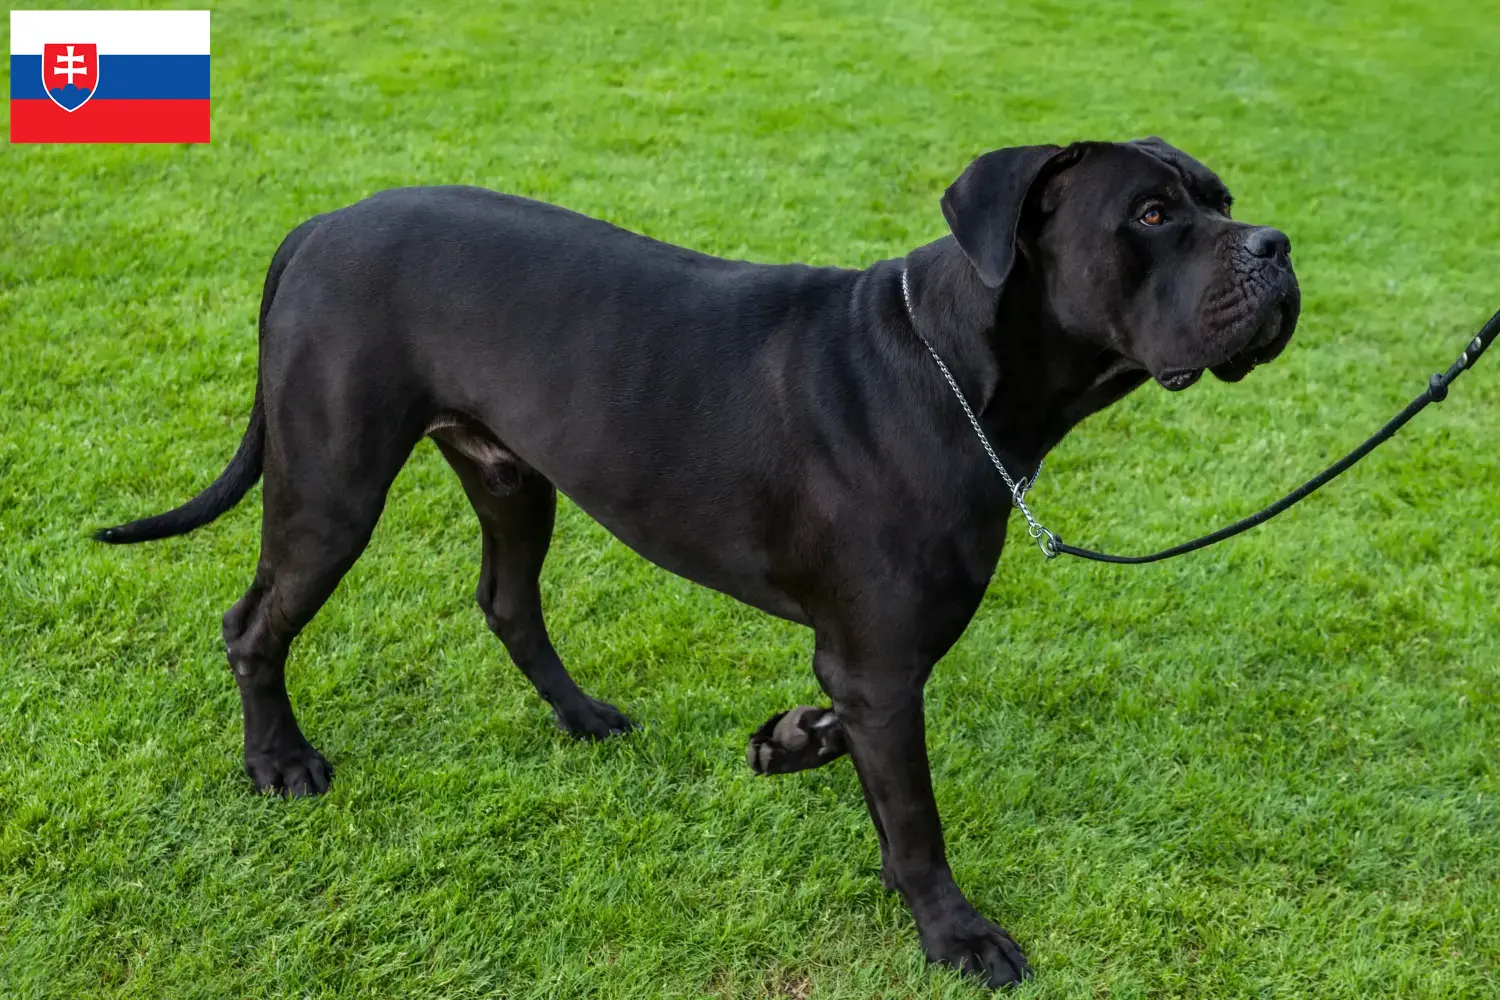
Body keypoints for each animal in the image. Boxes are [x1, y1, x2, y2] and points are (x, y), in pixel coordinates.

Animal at [96, 137, 1290, 989]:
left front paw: (794, 739)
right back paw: (279, 761)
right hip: (333, 488)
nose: (1275, 244)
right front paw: (956, 934)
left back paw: (581, 715)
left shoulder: (868, 661)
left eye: (1222, 197)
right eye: (1152, 215)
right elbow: (915, 817)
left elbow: (852, 747)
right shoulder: (882, 664)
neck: (959, 371)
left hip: (511, 474)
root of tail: (318, 224)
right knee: (255, 622)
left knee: (506, 599)